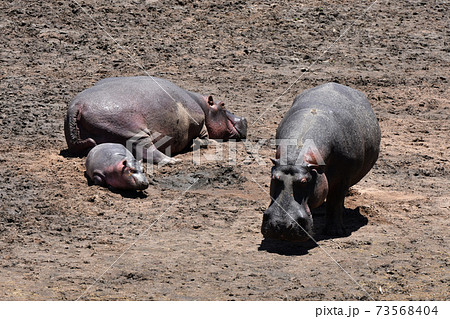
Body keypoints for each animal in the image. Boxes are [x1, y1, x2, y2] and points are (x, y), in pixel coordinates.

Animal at [63, 76, 248, 164]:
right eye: (223, 104)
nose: (244, 118)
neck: (203, 106)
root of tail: (76, 106)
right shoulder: (200, 123)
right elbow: (205, 138)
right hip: (130, 130)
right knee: (147, 149)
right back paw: (172, 161)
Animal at [262, 83, 382, 242]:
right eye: (274, 178)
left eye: (305, 181)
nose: (280, 226)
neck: (296, 158)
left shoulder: (343, 178)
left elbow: (335, 202)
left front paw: (335, 232)